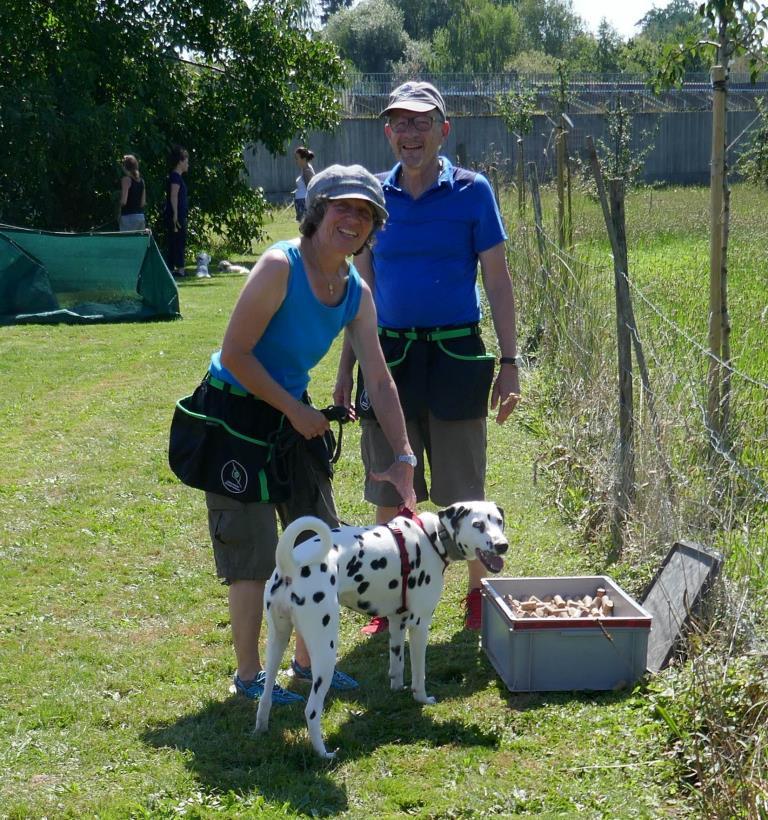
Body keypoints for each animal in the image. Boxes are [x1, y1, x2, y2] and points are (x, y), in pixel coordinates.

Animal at [254, 501, 507, 758]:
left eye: (499, 521)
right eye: (478, 524)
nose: (502, 545)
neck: (433, 537)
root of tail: (291, 563)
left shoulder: (397, 621)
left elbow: (397, 664)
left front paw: (396, 689)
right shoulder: (419, 624)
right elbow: (419, 673)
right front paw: (421, 698)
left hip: (276, 644)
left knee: (265, 697)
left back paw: (261, 729)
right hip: (325, 652)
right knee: (312, 711)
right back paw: (324, 753)